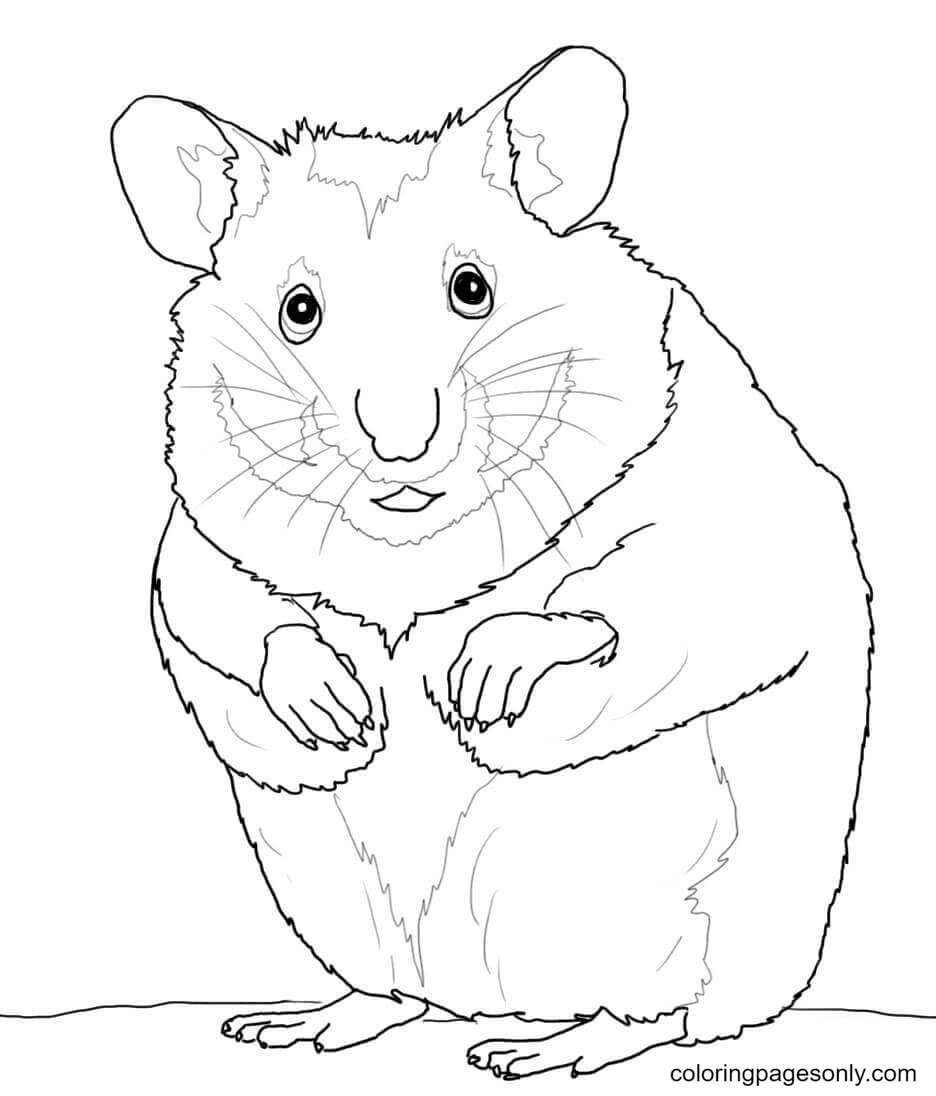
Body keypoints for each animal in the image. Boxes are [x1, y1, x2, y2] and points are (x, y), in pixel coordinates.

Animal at [111, 46, 872, 1077]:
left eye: (472, 288)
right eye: (298, 310)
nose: (400, 447)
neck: (409, 552)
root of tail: (476, 999)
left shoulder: (730, 499)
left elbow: (658, 584)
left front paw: (475, 681)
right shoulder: (202, 529)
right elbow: (223, 608)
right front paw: (340, 710)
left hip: (656, 906)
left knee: (657, 1011)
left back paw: (543, 1048)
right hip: (334, 895)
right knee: (394, 991)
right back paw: (304, 1022)